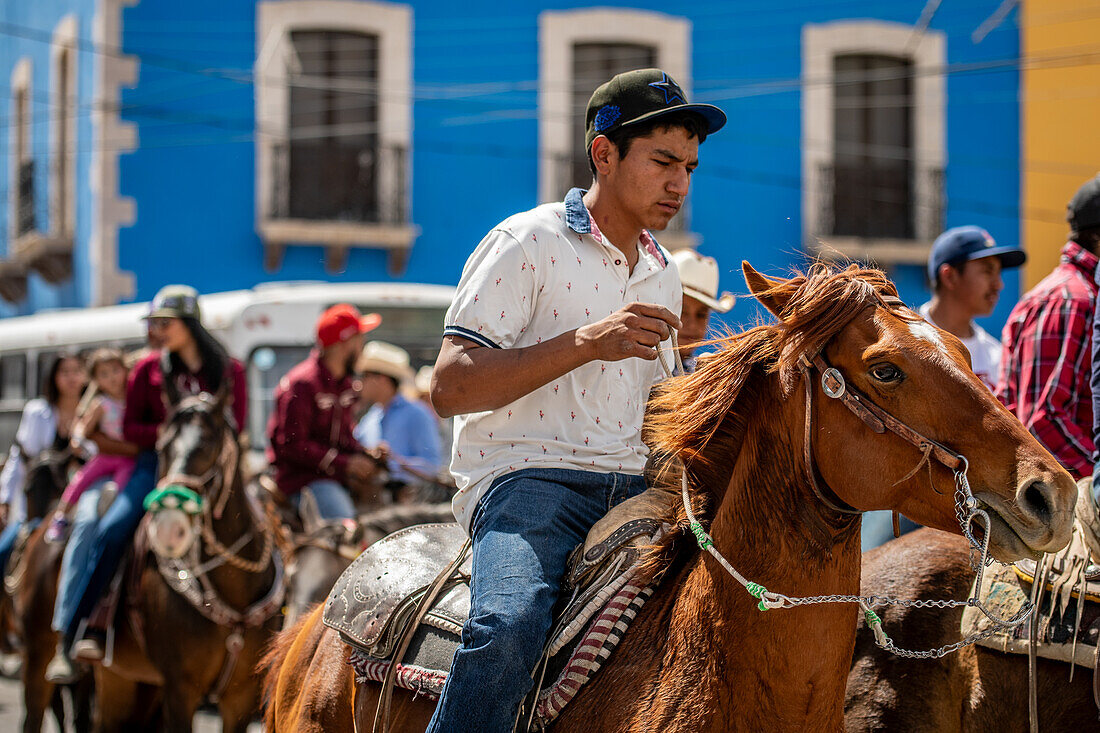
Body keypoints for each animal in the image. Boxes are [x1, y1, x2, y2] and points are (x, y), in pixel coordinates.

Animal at [93, 391, 283, 726]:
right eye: (162, 447)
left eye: (207, 445)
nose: (168, 527)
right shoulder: (180, 688)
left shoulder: (241, 696)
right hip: (114, 679)